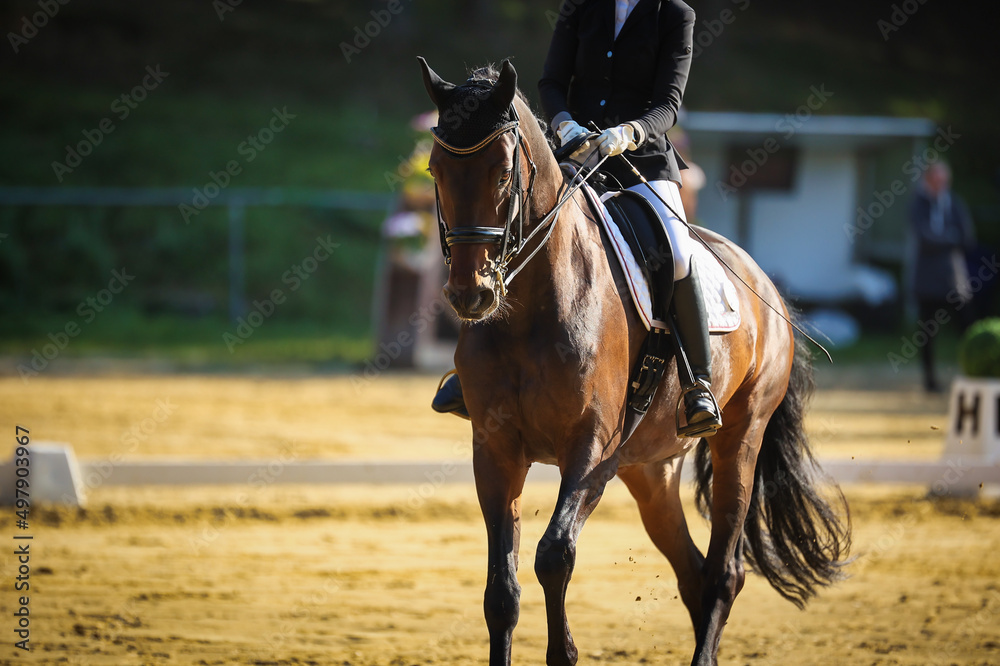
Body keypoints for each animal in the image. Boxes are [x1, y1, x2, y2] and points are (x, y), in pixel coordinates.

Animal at [417, 57, 851, 666]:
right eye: (435, 170)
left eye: (503, 173)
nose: (470, 294)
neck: (531, 306)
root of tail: (763, 280)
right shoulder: (496, 448)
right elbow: (501, 592)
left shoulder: (592, 448)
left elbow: (554, 556)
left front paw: (565, 652)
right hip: (649, 468)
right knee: (694, 572)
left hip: (739, 439)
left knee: (724, 572)